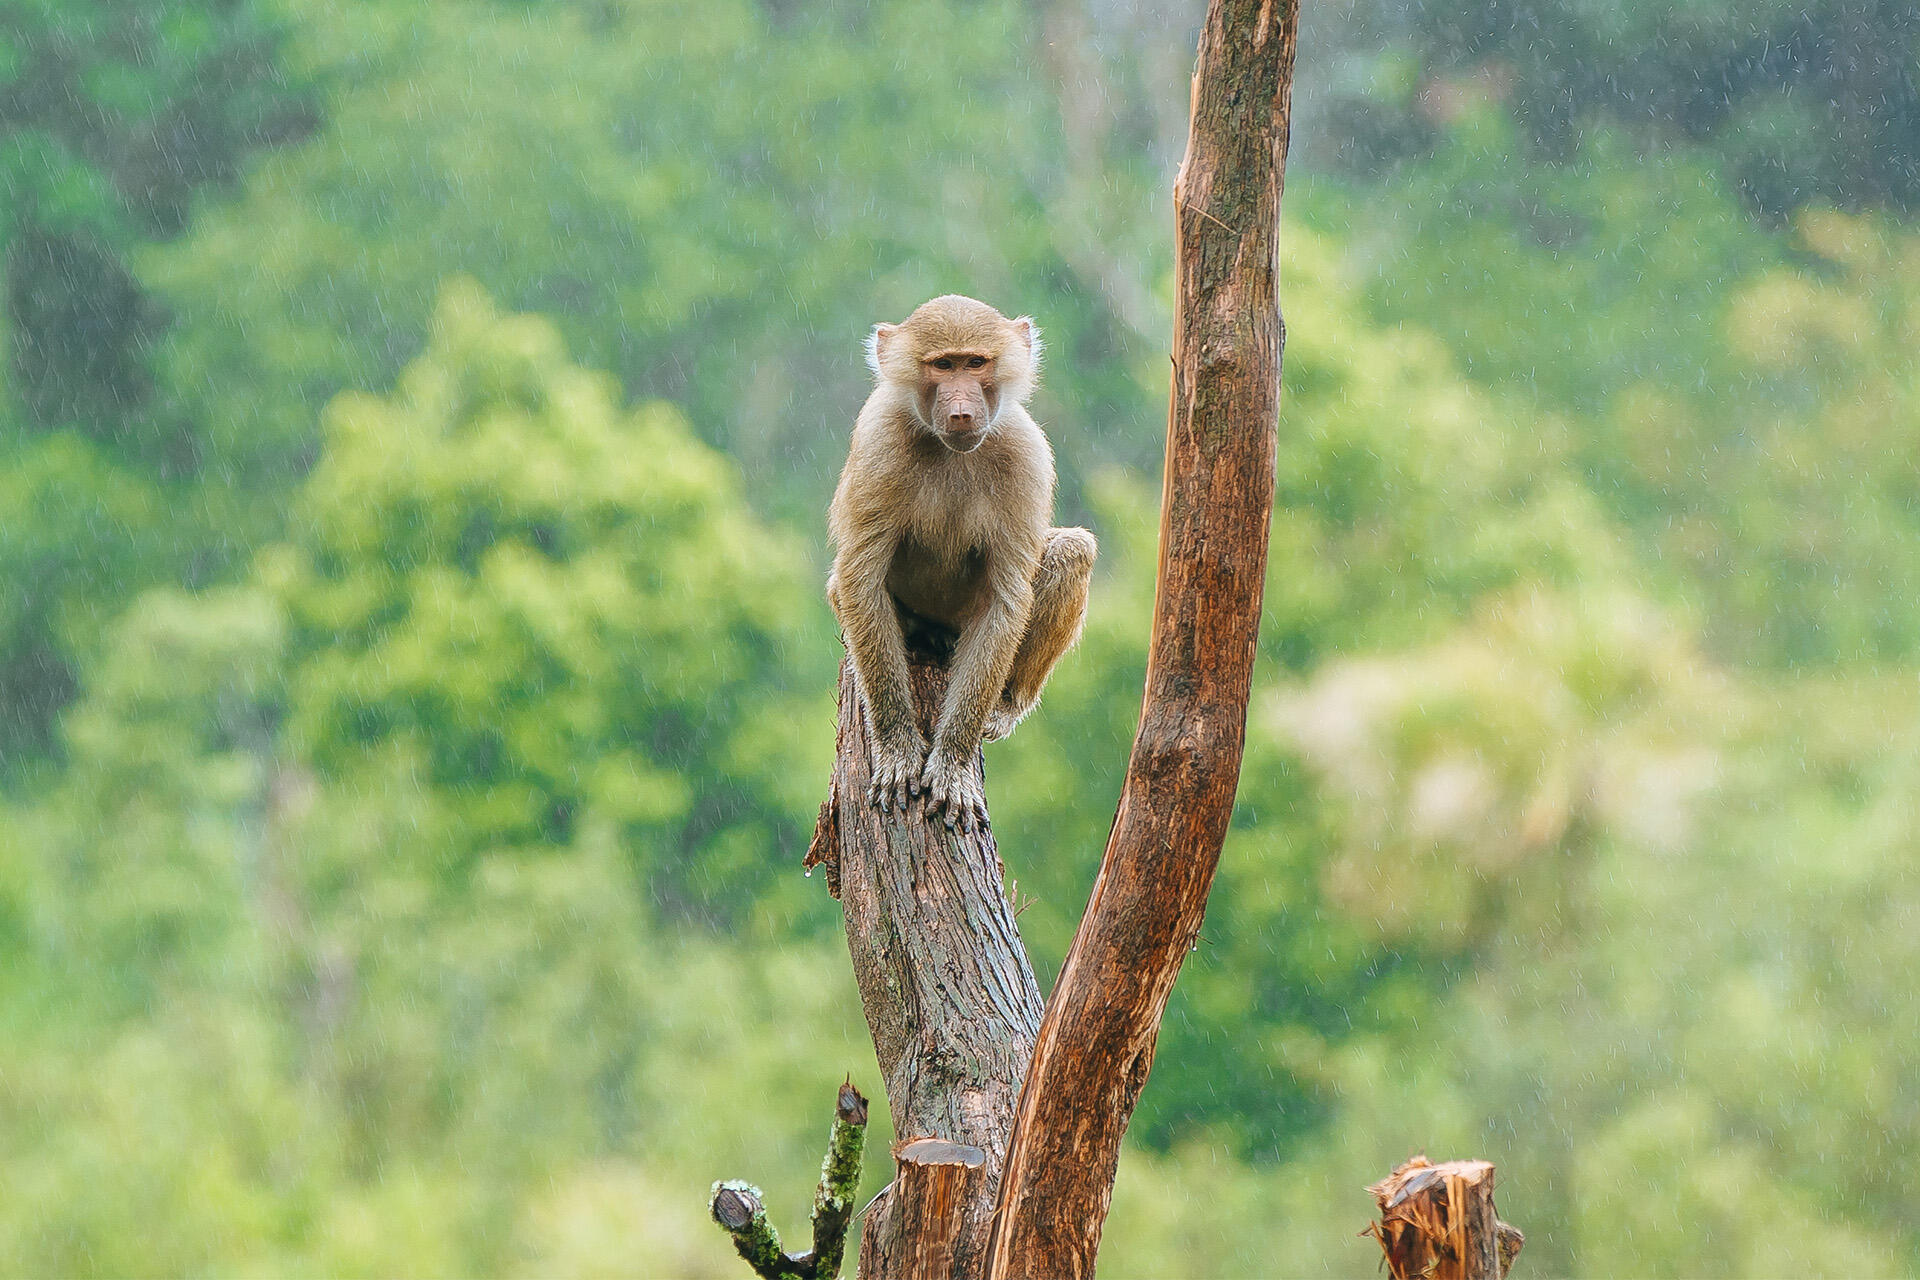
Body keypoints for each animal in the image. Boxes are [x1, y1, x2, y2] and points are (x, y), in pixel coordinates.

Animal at [827, 294, 1096, 832]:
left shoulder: (1026, 454)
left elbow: (1006, 599)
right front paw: (898, 752)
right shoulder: (878, 441)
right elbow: (860, 579)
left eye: (975, 363)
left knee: (1071, 551)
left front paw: (952, 765)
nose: (960, 411)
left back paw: (1005, 707)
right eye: (942, 365)